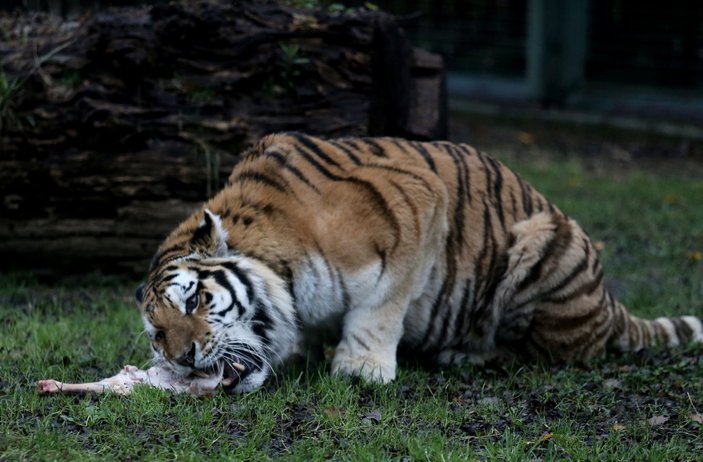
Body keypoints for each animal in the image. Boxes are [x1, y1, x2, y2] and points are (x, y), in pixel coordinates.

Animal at [135, 132, 700, 392]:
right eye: (158, 333)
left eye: (196, 301)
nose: (183, 357)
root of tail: (608, 304)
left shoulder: (417, 206)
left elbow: (380, 307)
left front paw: (360, 367)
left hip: (542, 245)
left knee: (545, 353)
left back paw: (464, 355)